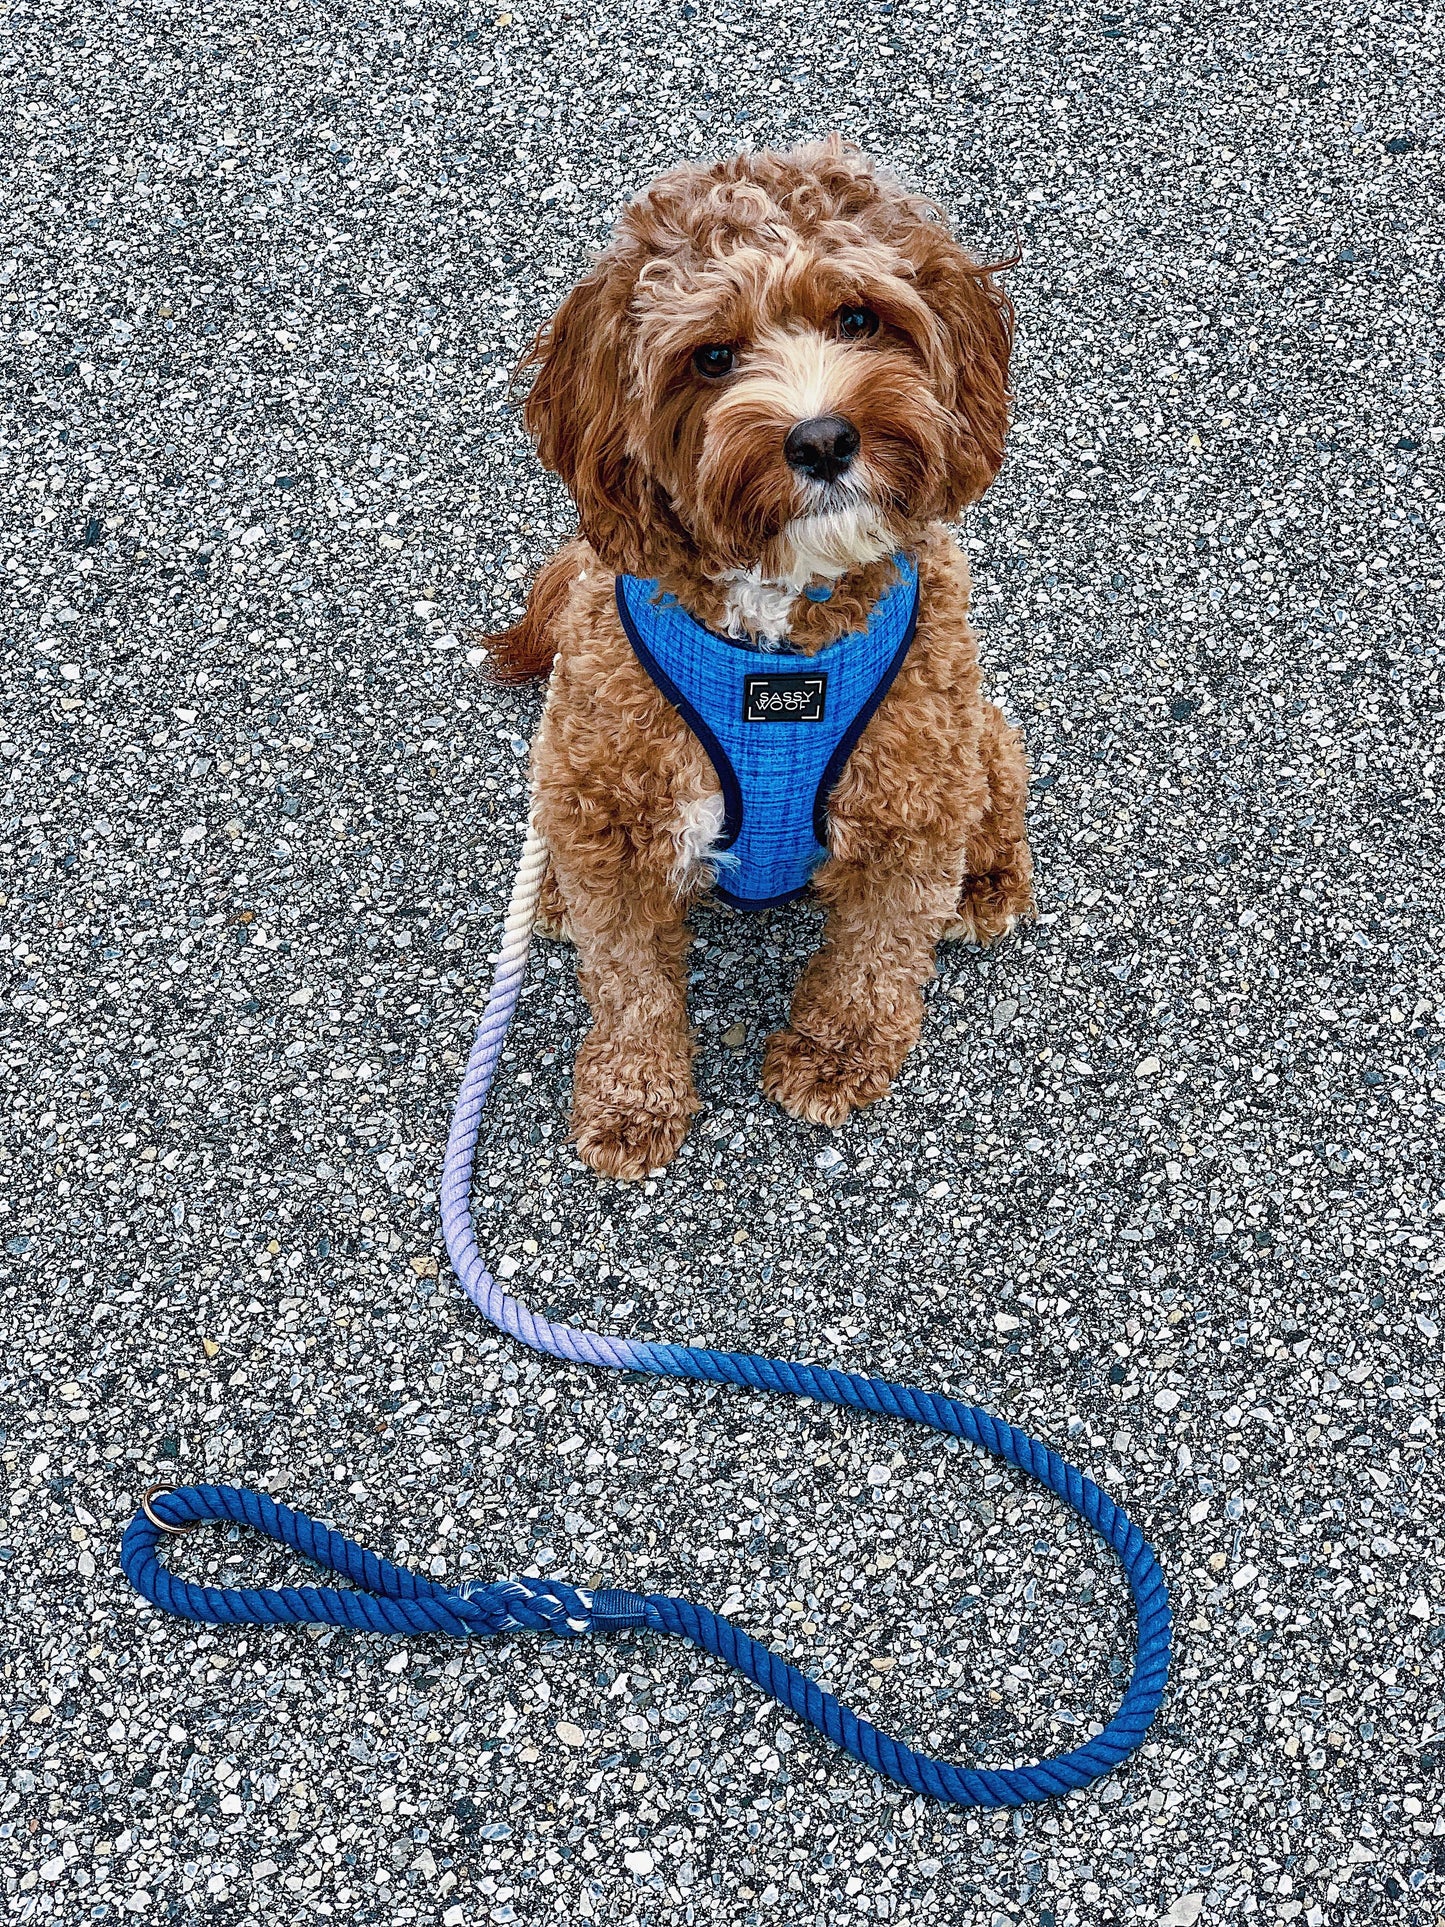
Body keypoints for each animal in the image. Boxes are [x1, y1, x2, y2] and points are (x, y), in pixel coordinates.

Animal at [493, 139, 1032, 1171]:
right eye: (710, 358)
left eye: (857, 317)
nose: (821, 438)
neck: (777, 649)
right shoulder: (611, 821)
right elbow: (627, 980)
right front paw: (633, 1097)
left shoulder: (911, 809)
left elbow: (875, 957)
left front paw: (835, 1056)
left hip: (970, 736)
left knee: (1001, 777)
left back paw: (990, 880)